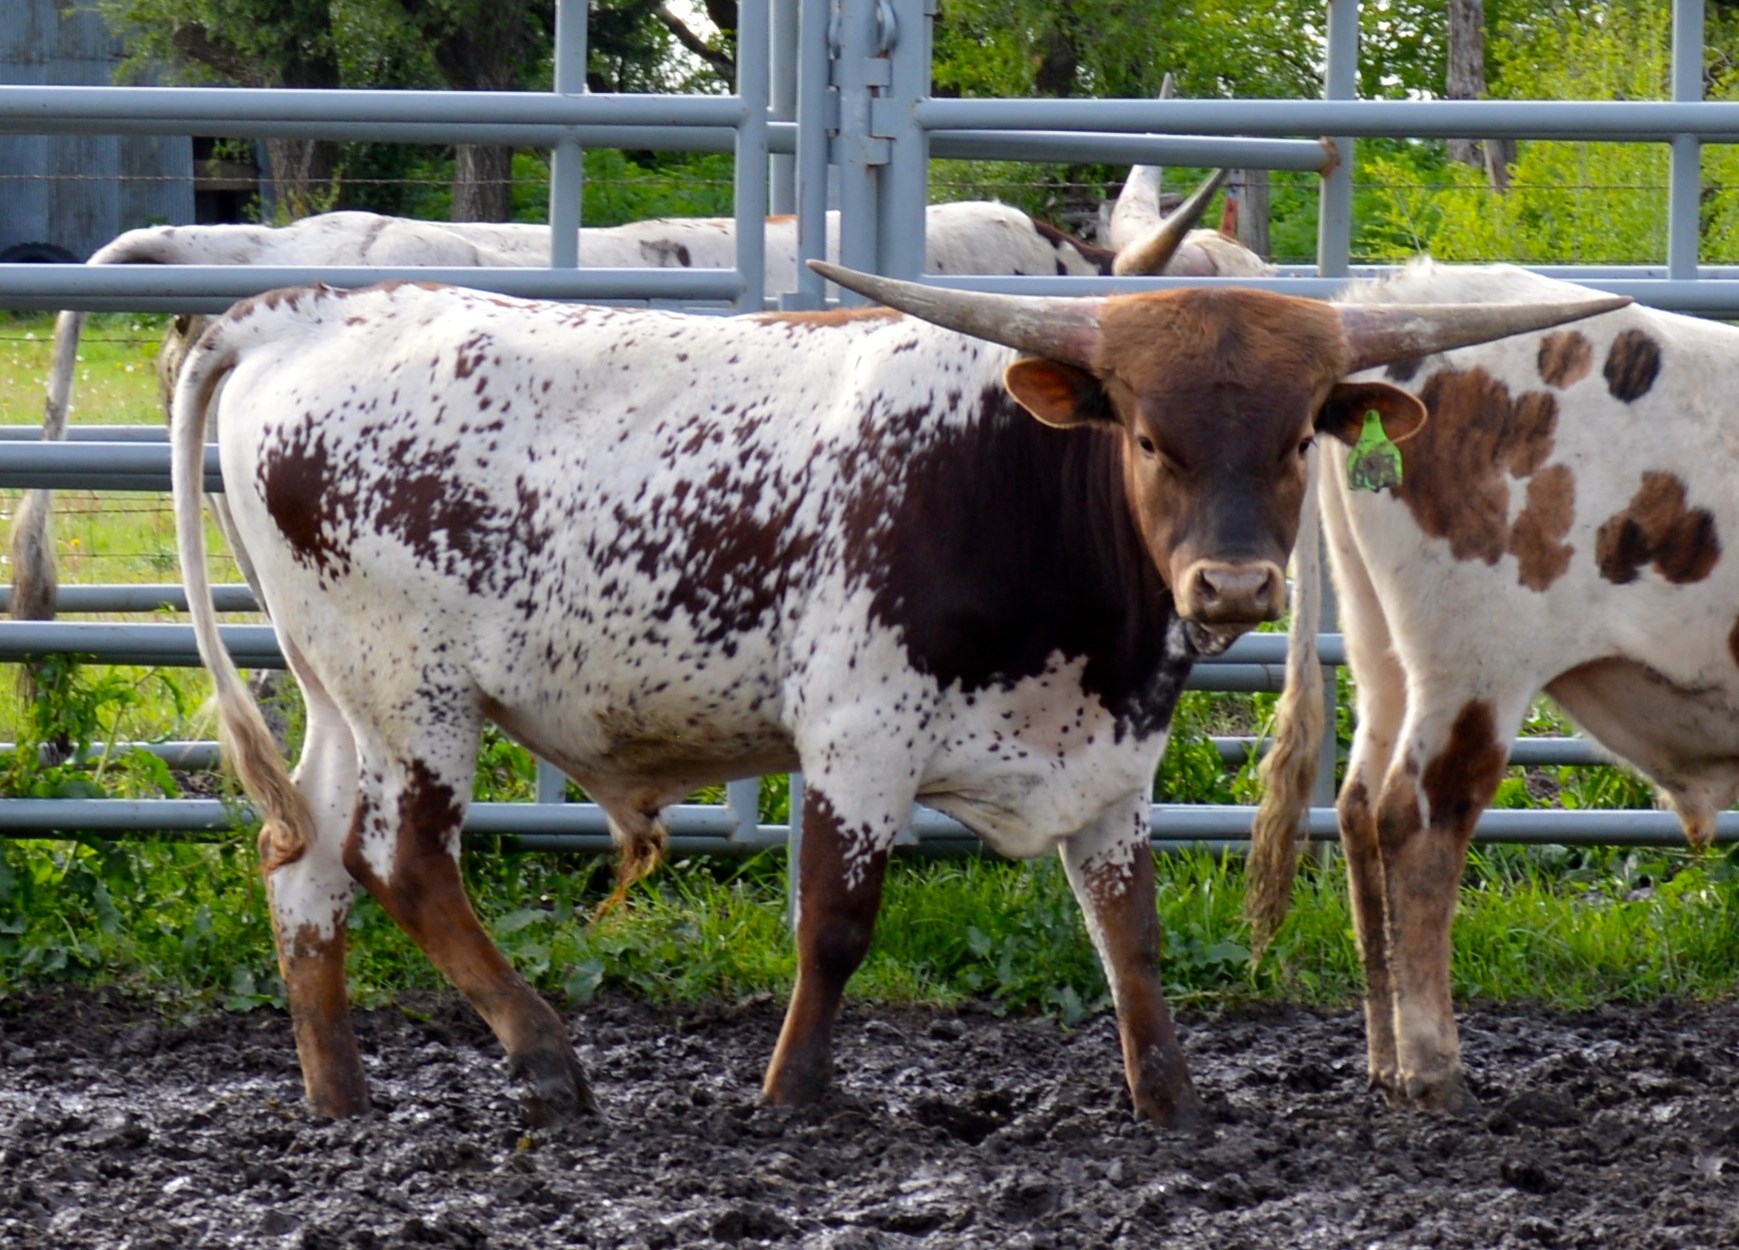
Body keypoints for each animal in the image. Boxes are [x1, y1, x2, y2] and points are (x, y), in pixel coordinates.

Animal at [167, 238, 1617, 1125]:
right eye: (1150, 436)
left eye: (1292, 437)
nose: (1234, 589)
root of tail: (298, 311)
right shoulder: (856, 738)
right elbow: (837, 922)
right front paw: (791, 1091)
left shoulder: (1112, 763)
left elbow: (1130, 936)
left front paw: (1173, 1100)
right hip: (414, 687)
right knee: (400, 855)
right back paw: (543, 1054)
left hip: (337, 688)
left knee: (303, 853)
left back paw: (340, 1091)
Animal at [1249, 259, 1683, 1114]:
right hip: (1474, 662)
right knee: (1417, 817)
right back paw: (1432, 1070)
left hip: (1380, 646)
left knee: (1357, 806)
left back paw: (1386, 1063)